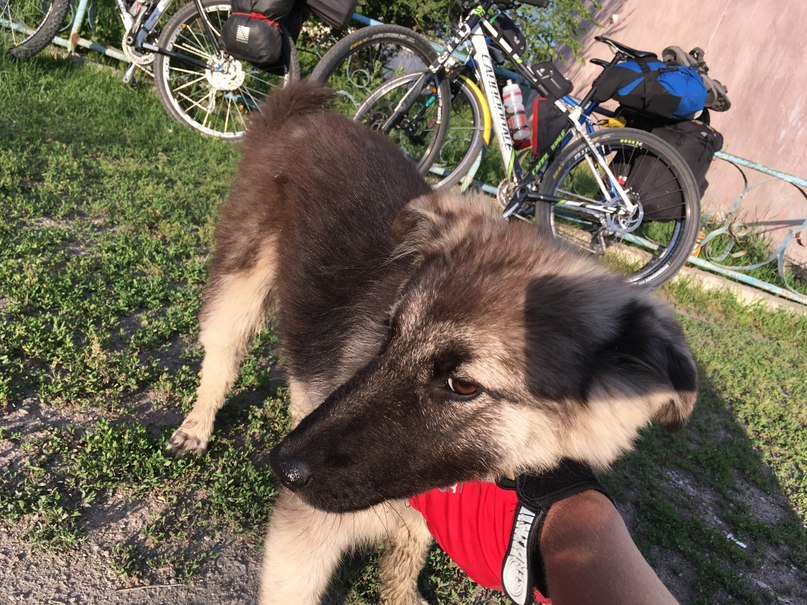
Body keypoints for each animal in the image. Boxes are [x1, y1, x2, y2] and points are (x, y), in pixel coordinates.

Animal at [167, 81, 696, 604]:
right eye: (390, 333)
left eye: (463, 385)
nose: (282, 467)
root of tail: (306, 117)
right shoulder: (303, 538)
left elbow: (408, 551)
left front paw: (400, 591)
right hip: (240, 288)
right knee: (221, 360)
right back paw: (196, 427)